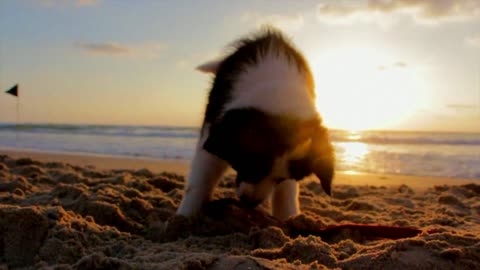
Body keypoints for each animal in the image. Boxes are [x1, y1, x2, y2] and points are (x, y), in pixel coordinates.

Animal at [176, 28, 334, 221]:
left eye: (279, 179)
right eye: (250, 165)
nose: (249, 203)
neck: (278, 91)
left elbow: (287, 189)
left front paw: (289, 217)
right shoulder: (214, 128)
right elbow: (202, 176)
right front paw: (183, 218)